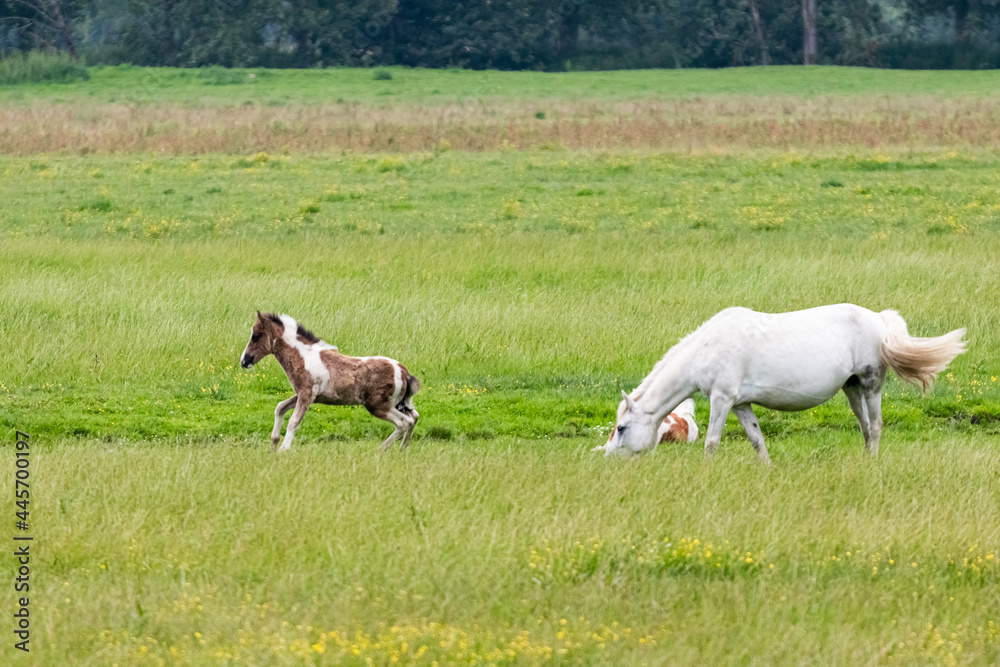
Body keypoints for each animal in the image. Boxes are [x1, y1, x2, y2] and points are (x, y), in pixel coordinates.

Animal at [240, 314, 420, 454]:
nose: (244, 361)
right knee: (414, 417)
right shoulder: (306, 395)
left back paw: (381, 449)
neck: (304, 357)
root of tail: (404, 372)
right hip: (397, 405)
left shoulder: (306, 395)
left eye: (256, 335)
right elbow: (280, 407)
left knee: (404, 423)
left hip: (378, 406)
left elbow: (293, 421)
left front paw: (283, 449)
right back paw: (403, 449)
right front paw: (273, 443)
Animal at [604, 304, 964, 464]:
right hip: (851, 388)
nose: (608, 456)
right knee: (864, 428)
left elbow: (711, 442)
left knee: (875, 426)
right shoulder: (740, 404)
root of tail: (879, 319)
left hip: (871, 384)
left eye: (621, 428)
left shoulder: (722, 399)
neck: (706, 349)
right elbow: (757, 441)